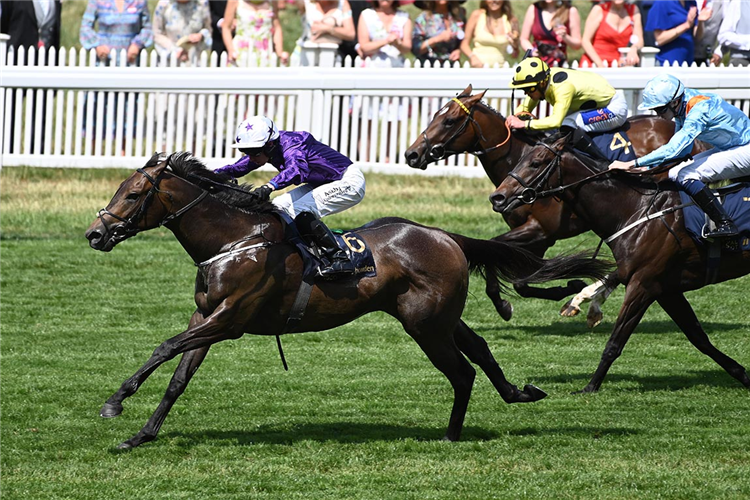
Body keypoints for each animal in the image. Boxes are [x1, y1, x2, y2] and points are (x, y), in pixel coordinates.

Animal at [83, 150, 612, 448]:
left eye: (133, 194)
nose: (95, 234)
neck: (235, 240)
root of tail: (445, 235)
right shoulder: (206, 316)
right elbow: (177, 377)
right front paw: (141, 435)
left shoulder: (229, 319)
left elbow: (165, 346)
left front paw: (114, 403)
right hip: (437, 317)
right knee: (479, 350)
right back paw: (517, 393)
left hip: (424, 324)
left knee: (462, 371)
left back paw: (450, 435)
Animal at [406, 84, 712, 324]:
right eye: (434, 115)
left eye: (449, 120)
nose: (412, 154)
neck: (520, 157)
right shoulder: (537, 237)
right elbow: (521, 276)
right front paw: (568, 287)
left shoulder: (541, 230)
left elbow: (505, 259)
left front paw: (518, 301)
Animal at [490, 137, 750, 394]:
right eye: (521, 158)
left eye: (536, 162)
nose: (497, 197)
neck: (636, 211)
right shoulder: (667, 290)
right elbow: (698, 337)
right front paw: (742, 374)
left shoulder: (642, 285)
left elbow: (615, 342)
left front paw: (590, 387)